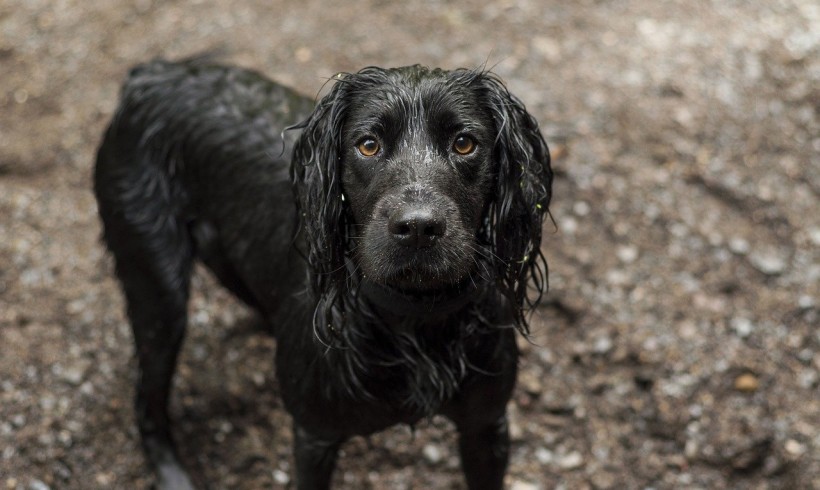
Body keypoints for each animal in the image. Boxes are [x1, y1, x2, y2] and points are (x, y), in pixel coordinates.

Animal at [93, 55, 552, 488]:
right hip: (158, 288)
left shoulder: (487, 426)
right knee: (146, 405)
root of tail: (151, 74)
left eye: (464, 143)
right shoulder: (314, 437)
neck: (414, 320)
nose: (419, 227)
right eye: (367, 145)